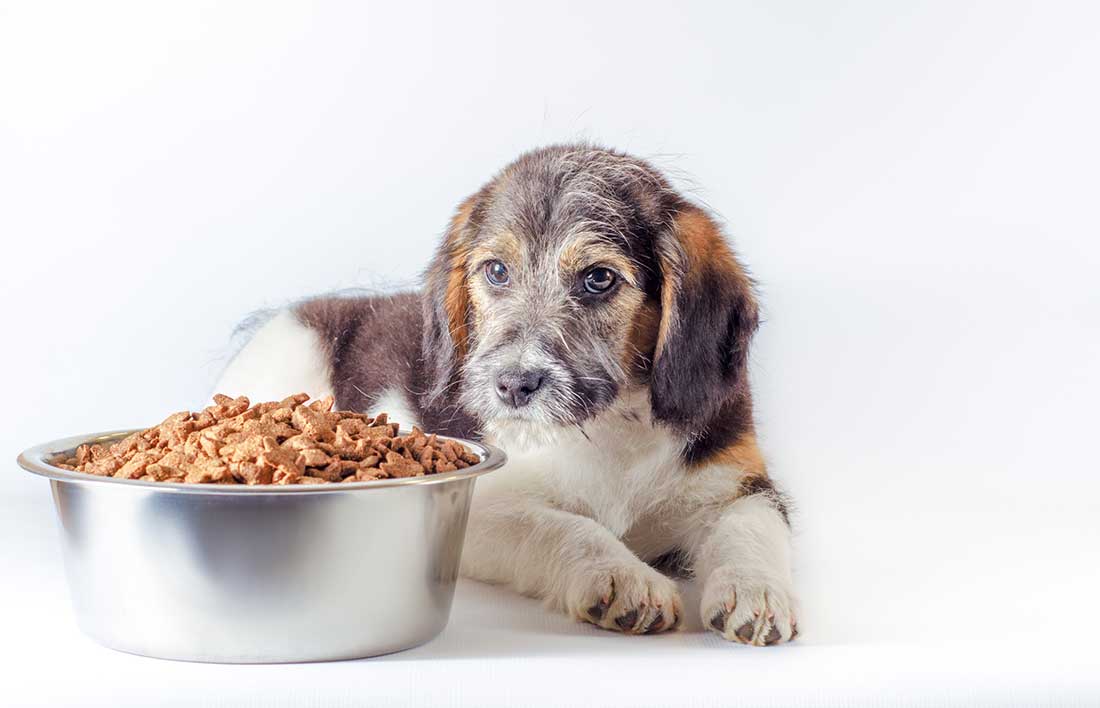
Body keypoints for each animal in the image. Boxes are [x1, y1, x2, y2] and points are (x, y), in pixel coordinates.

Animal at [216, 145, 800, 646]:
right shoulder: (485, 506)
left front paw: (758, 592)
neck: (611, 428)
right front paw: (619, 574)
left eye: (599, 278)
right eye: (497, 271)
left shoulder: (741, 484)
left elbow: (751, 527)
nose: (513, 385)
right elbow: (565, 525)